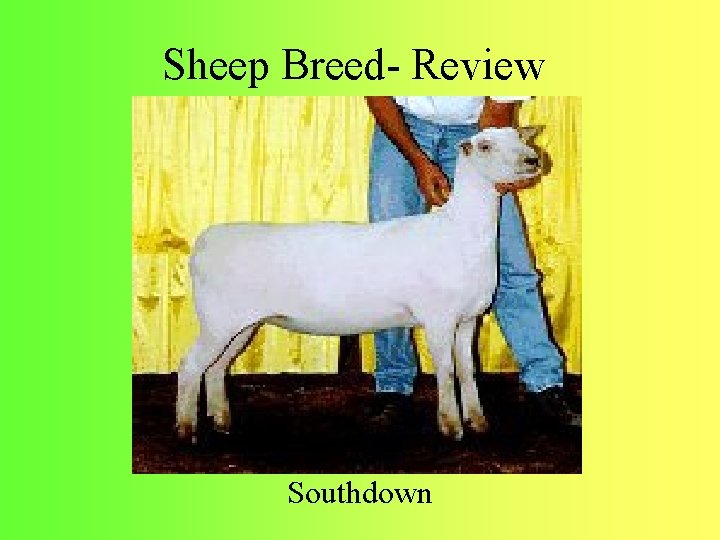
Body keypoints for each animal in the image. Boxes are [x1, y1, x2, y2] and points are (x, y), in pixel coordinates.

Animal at [176, 126, 541, 443]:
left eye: (520, 137)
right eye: (485, 146)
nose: (533, 160)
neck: (460, 231)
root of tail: (203, 242)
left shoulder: (468, 319)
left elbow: (467, 370)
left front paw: (478, 422)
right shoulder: (439, 318)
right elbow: (447, 372)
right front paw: (451, 428)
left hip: (241, 325)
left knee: (216, 367)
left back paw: (221, 422)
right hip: (218, 319)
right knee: (191, 365)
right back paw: (186, 430)